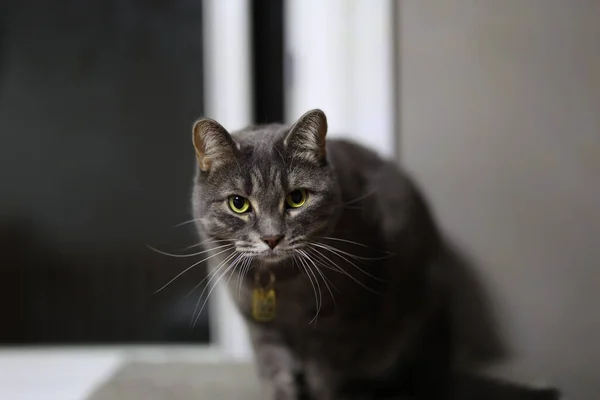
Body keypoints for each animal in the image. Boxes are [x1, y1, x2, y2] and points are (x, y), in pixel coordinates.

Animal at [191, 109, 450, 400]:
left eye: (297, 198)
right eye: (238, 203)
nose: (272, 238)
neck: (283, 288)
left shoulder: (340, 326)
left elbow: (324, 379)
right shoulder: (262, 331)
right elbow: (276, 376)